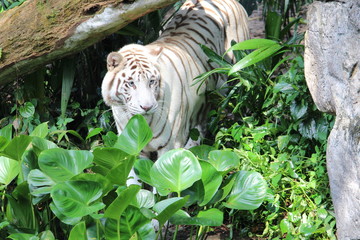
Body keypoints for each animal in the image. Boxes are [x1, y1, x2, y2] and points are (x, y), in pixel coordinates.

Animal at [100, 0, 249, 159]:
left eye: (151, 81)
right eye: (131, 83)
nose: (147, 107)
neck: (142, 122)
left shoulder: (170, 144)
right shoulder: (133, 144)